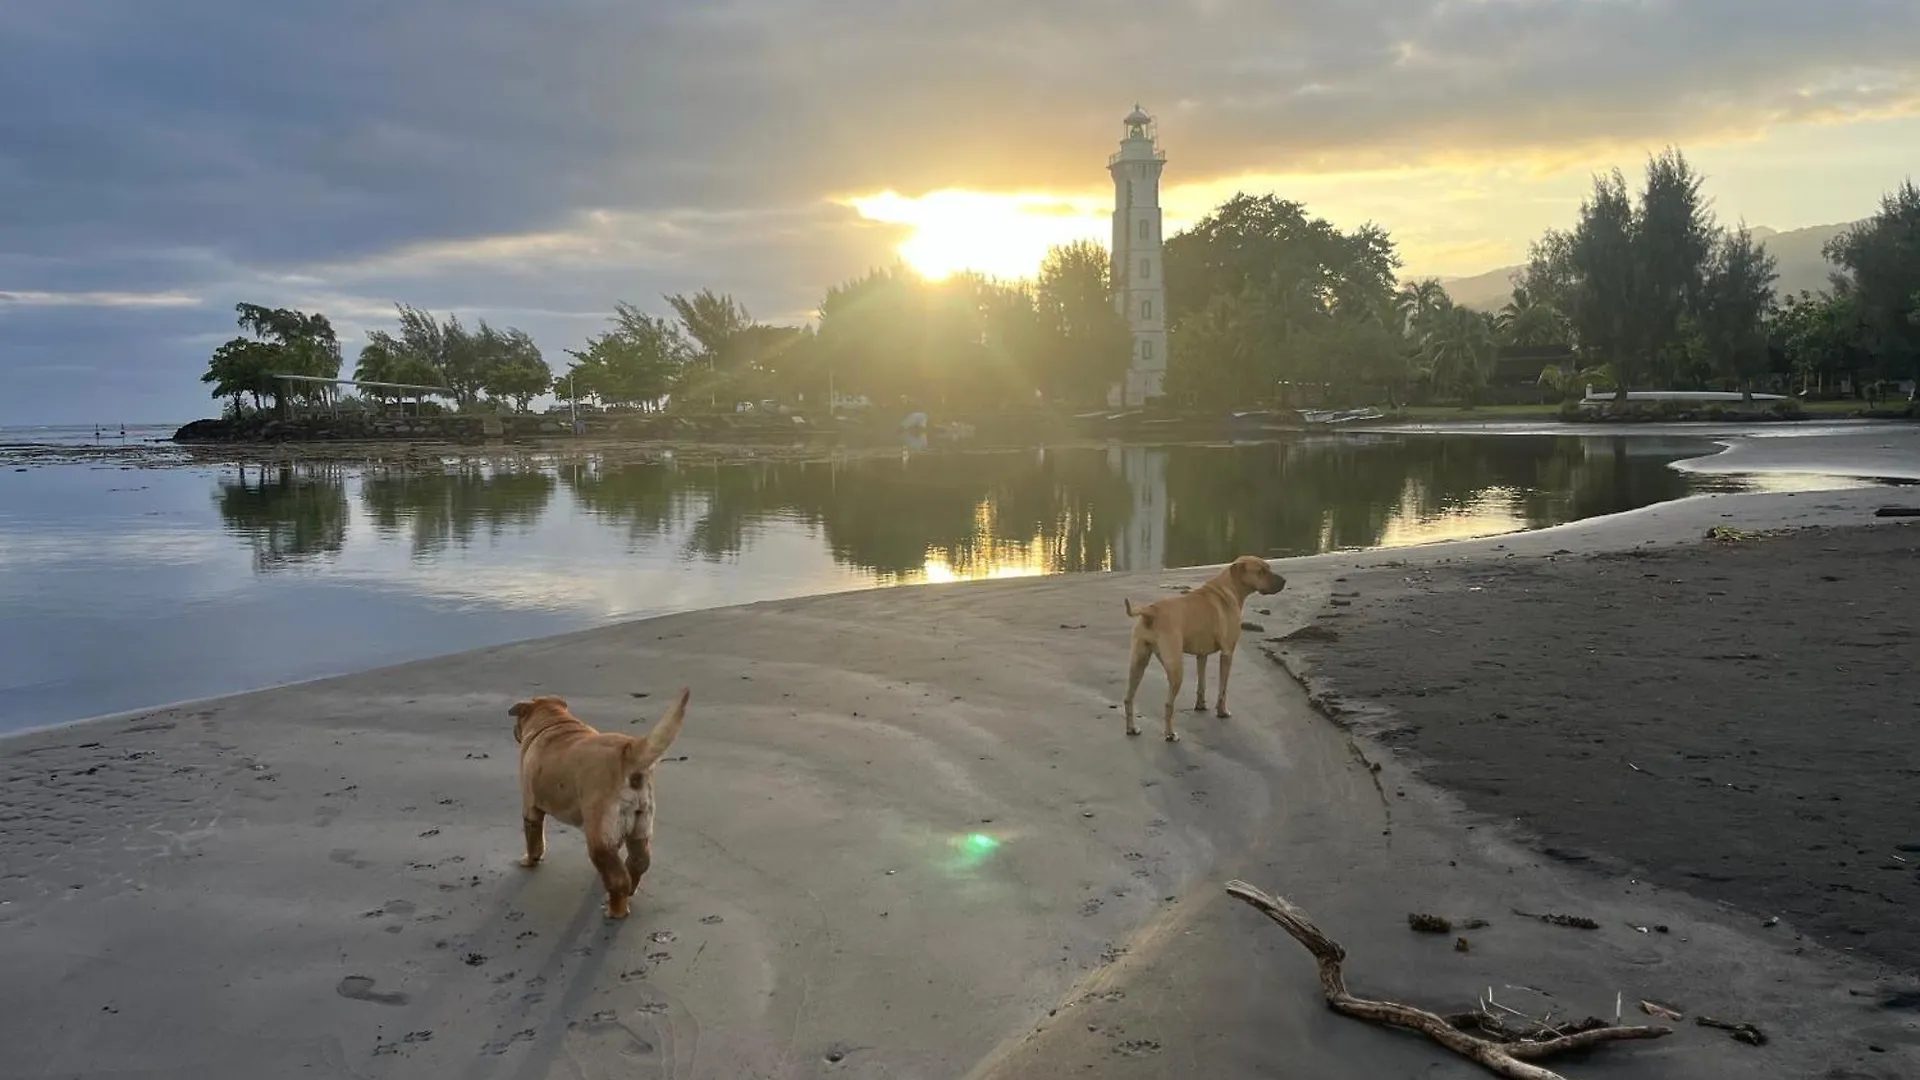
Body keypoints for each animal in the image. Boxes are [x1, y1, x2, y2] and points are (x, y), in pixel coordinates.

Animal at [510, 687, 691, 914]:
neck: (553, 721)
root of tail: (628, 750)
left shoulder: (530, 806)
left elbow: (534, 840)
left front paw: (529, 861)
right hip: (640, 826)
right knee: (637, 862)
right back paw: (627, 889)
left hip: (597, 834)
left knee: (617, 878)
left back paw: (615, 910)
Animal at [1121, 553, 1290, 737]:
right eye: (1260, 571)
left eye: (1268, 567)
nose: (1284, 581)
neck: (1229, 588)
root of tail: (1151, 610)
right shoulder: (1227, 653)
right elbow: (1223, 689)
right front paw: (1222, 712)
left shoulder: (1201, 655)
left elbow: (1201, 684)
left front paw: (1201, 705)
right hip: (1175, 668)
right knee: (1168, 704)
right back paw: (1170, 734)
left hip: (1138, 662)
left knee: (1128, 698)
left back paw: (1131, 728)